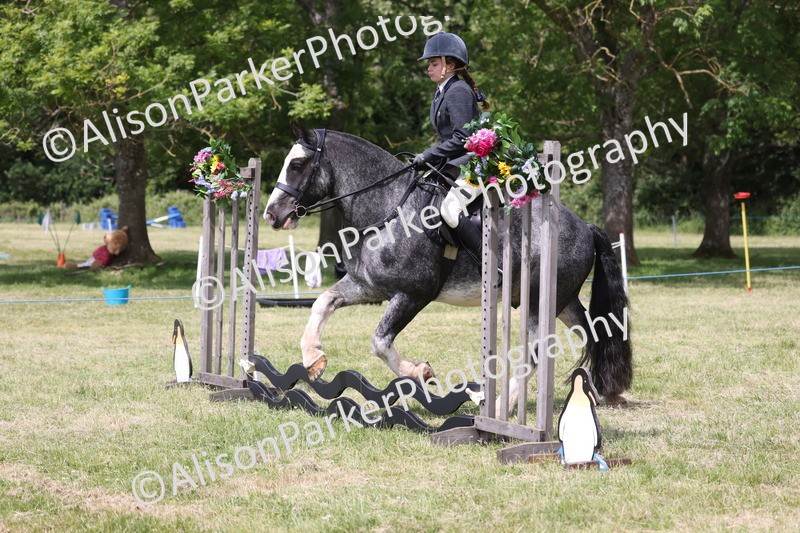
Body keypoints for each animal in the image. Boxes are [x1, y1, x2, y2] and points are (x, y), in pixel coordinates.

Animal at [263, 123, 633, 407]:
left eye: (297, 164)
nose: (271, 215)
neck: (388, 208)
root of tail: (584, 226)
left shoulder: (414, 294)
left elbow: (380, 341)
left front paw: (419, 372)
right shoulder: (368, 287)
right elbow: (323, 302)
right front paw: (313, 360)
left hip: (540, 301)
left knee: (535, 352)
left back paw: (498, 403)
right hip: (563, 301)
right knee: (593, 331)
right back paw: (598, 391)